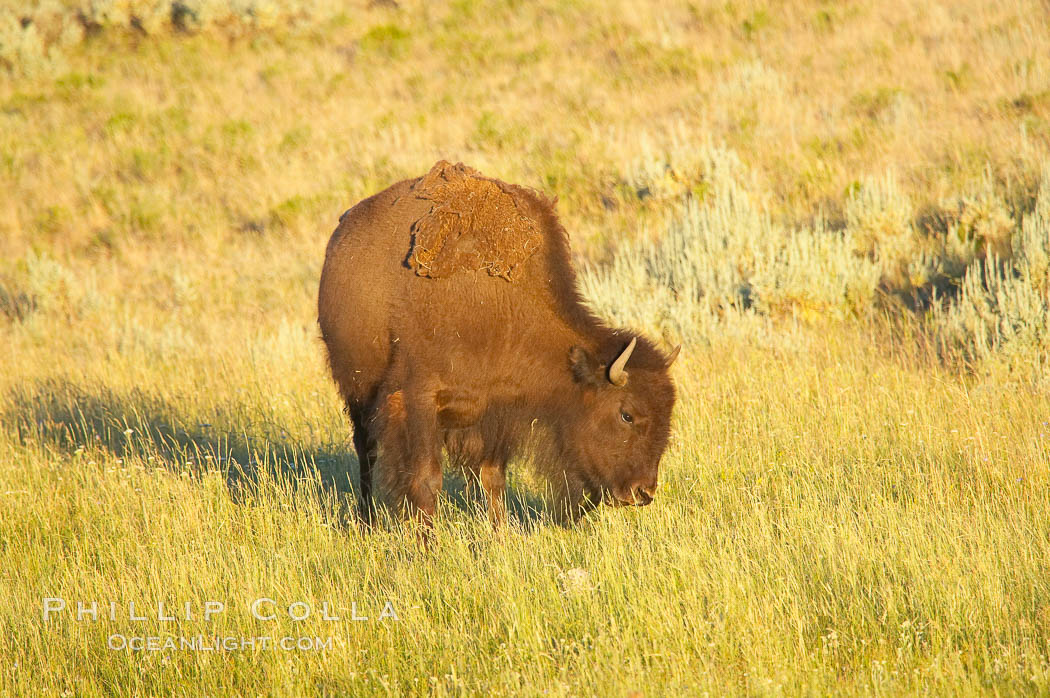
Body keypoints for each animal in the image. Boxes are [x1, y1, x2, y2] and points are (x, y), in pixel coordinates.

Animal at [317, 160, 680, 524]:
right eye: (627, 414)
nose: (643, 492)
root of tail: (341, 234)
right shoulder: (416, 399)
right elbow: (425, 478)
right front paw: (427, 538)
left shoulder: (495, 411)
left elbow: (492, 478)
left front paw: (500, 531)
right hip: (358, 394)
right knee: (367, 455)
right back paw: (366, 519)